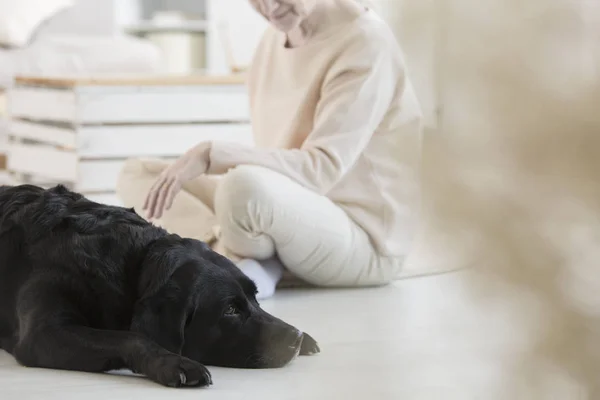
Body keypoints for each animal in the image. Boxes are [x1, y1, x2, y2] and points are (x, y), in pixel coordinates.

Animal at [0, 184, 318, 388]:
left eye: (255, 297)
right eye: (230, 310)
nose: (295, 338)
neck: (132, 262)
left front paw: (306, 337)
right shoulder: (43, 333)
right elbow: (129, 338)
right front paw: (173, 363)